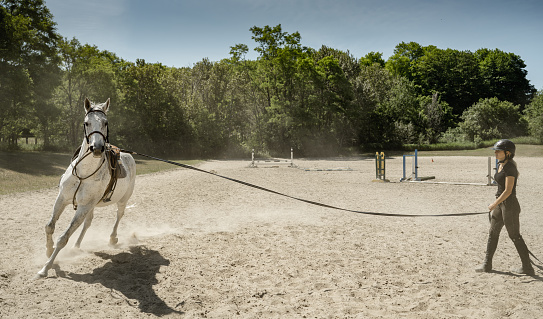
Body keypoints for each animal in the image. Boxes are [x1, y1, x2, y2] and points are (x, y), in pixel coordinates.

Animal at [37, 99, 137, 278]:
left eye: (105, 122)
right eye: (86, 123)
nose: (96, 148)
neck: (83, 173)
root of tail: (129, 156)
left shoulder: (83, 207)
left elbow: (63, 238)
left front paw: (46, 268)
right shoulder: (62, 198)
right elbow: (49, 226)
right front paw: (48, 251)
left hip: (122, 200)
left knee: (119, 216)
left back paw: (112, 238)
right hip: (91, 206)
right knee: (88, 223)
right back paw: (77, 246)